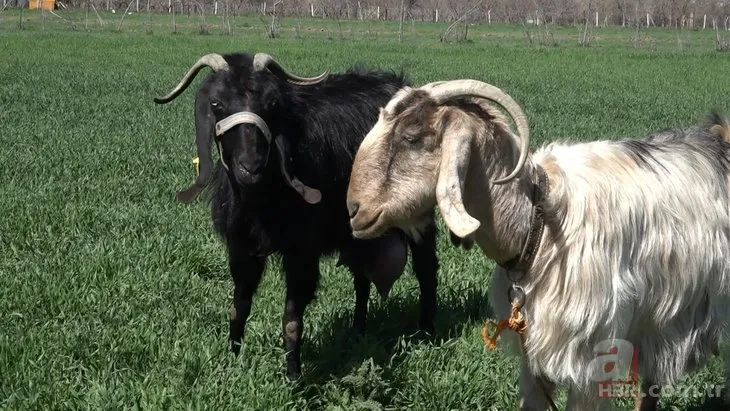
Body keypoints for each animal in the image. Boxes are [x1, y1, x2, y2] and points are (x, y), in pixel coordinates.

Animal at [154, 53, 438, 382]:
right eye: (216, 104)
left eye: (271, 103)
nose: (250, 166)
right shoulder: (241, 247)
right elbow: (238, 307)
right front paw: (232, 362)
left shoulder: (302, 251)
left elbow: (291, 318)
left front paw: (293, 378)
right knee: (362, 278)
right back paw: (357, 332)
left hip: (417, 213)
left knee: (426, 268)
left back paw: (427, 331)